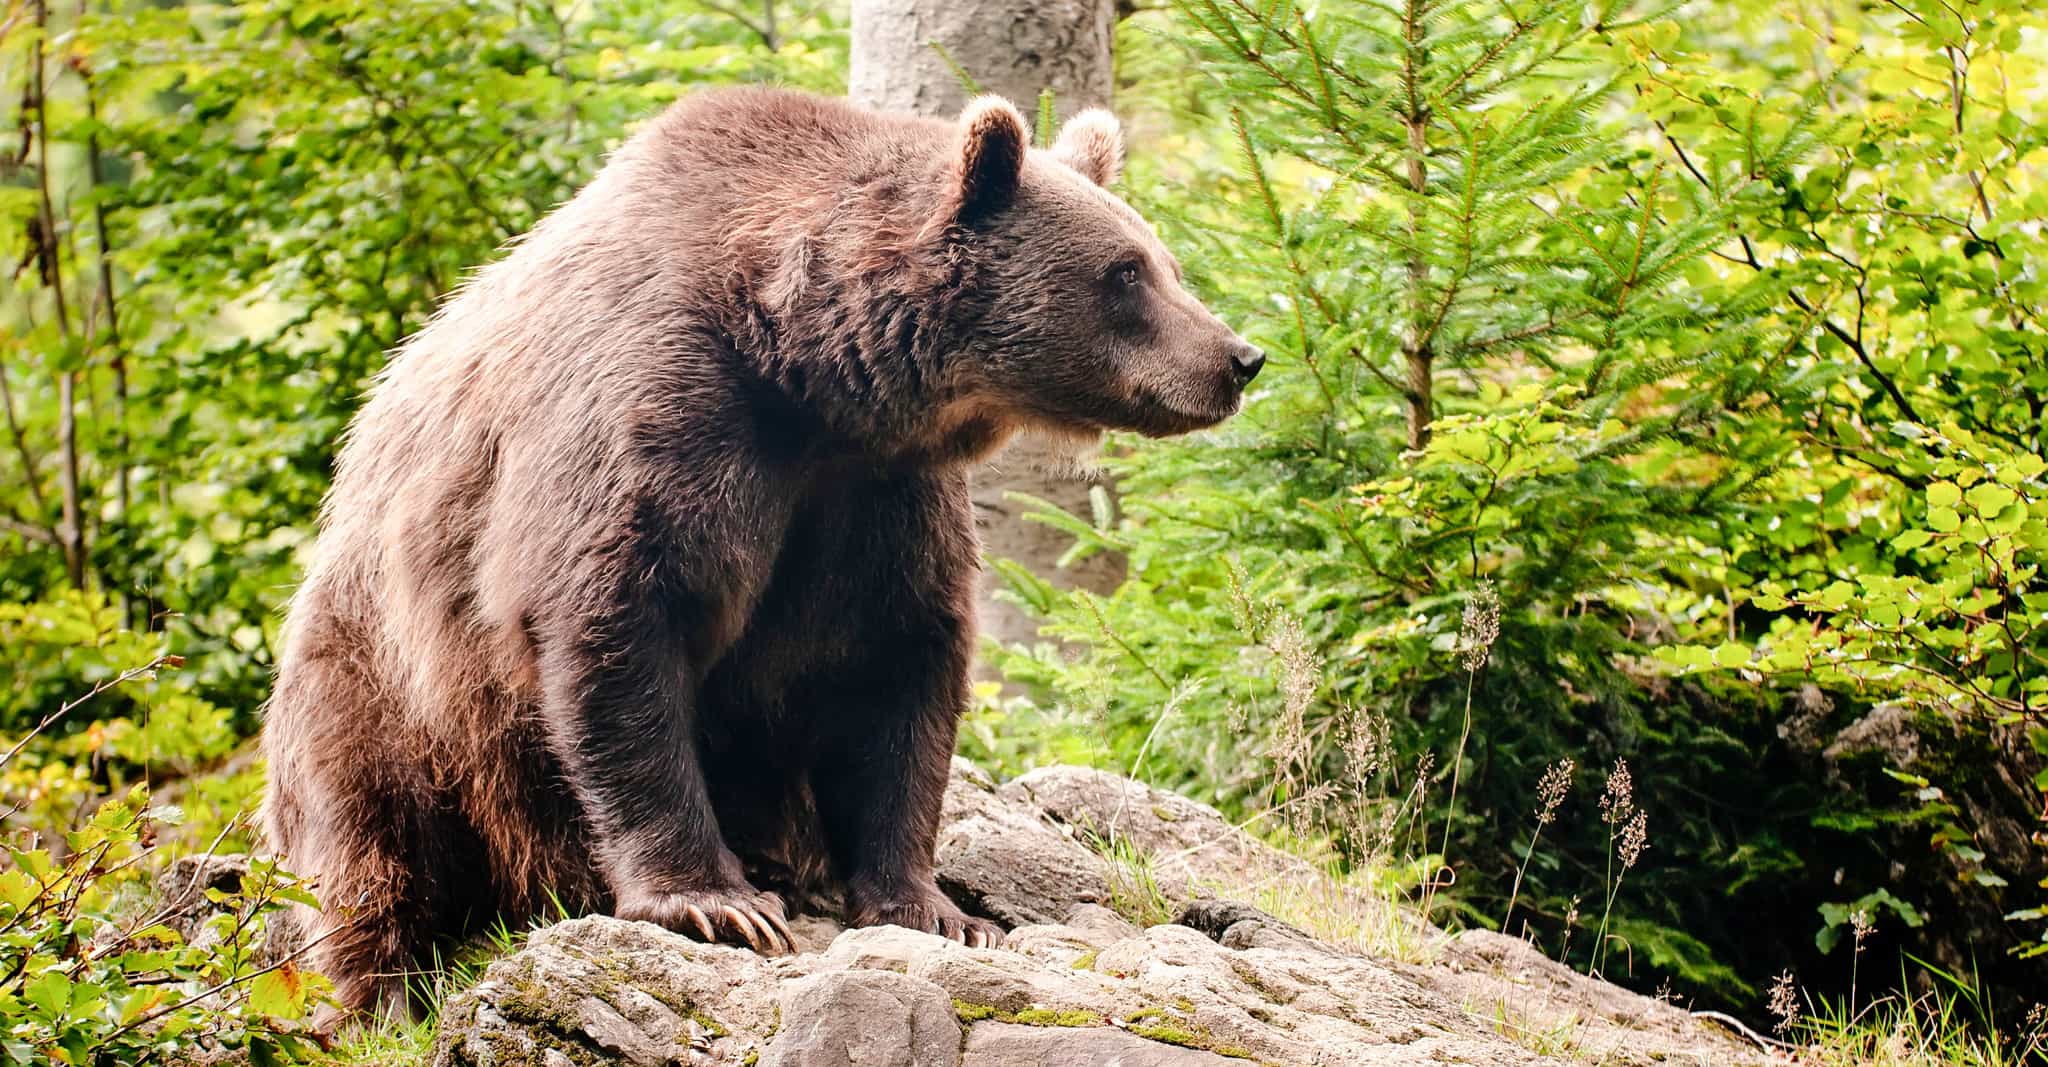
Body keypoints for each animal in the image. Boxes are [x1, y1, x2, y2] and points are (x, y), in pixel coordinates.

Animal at [261, 86, 1263, 1017]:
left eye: (1163, 261)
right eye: (1125, 272)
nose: (1239, 356)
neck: (809, 376)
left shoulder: (878, 500)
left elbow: (898, 672)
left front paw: (934, 905)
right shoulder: (663, 418)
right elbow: (618, 625)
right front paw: (716, 902)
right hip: (383, 681)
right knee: (367, 837)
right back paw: (379, 991)